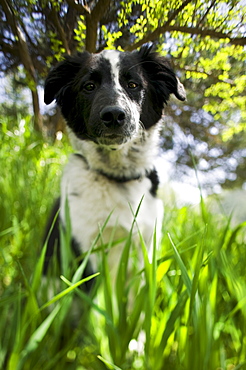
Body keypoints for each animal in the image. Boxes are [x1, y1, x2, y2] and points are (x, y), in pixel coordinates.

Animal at [43, 43, 185, 280]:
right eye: (89, 86)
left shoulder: (145, 247)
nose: (114, 115)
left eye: (133, 85)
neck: (119, 178)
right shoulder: (86, 252)